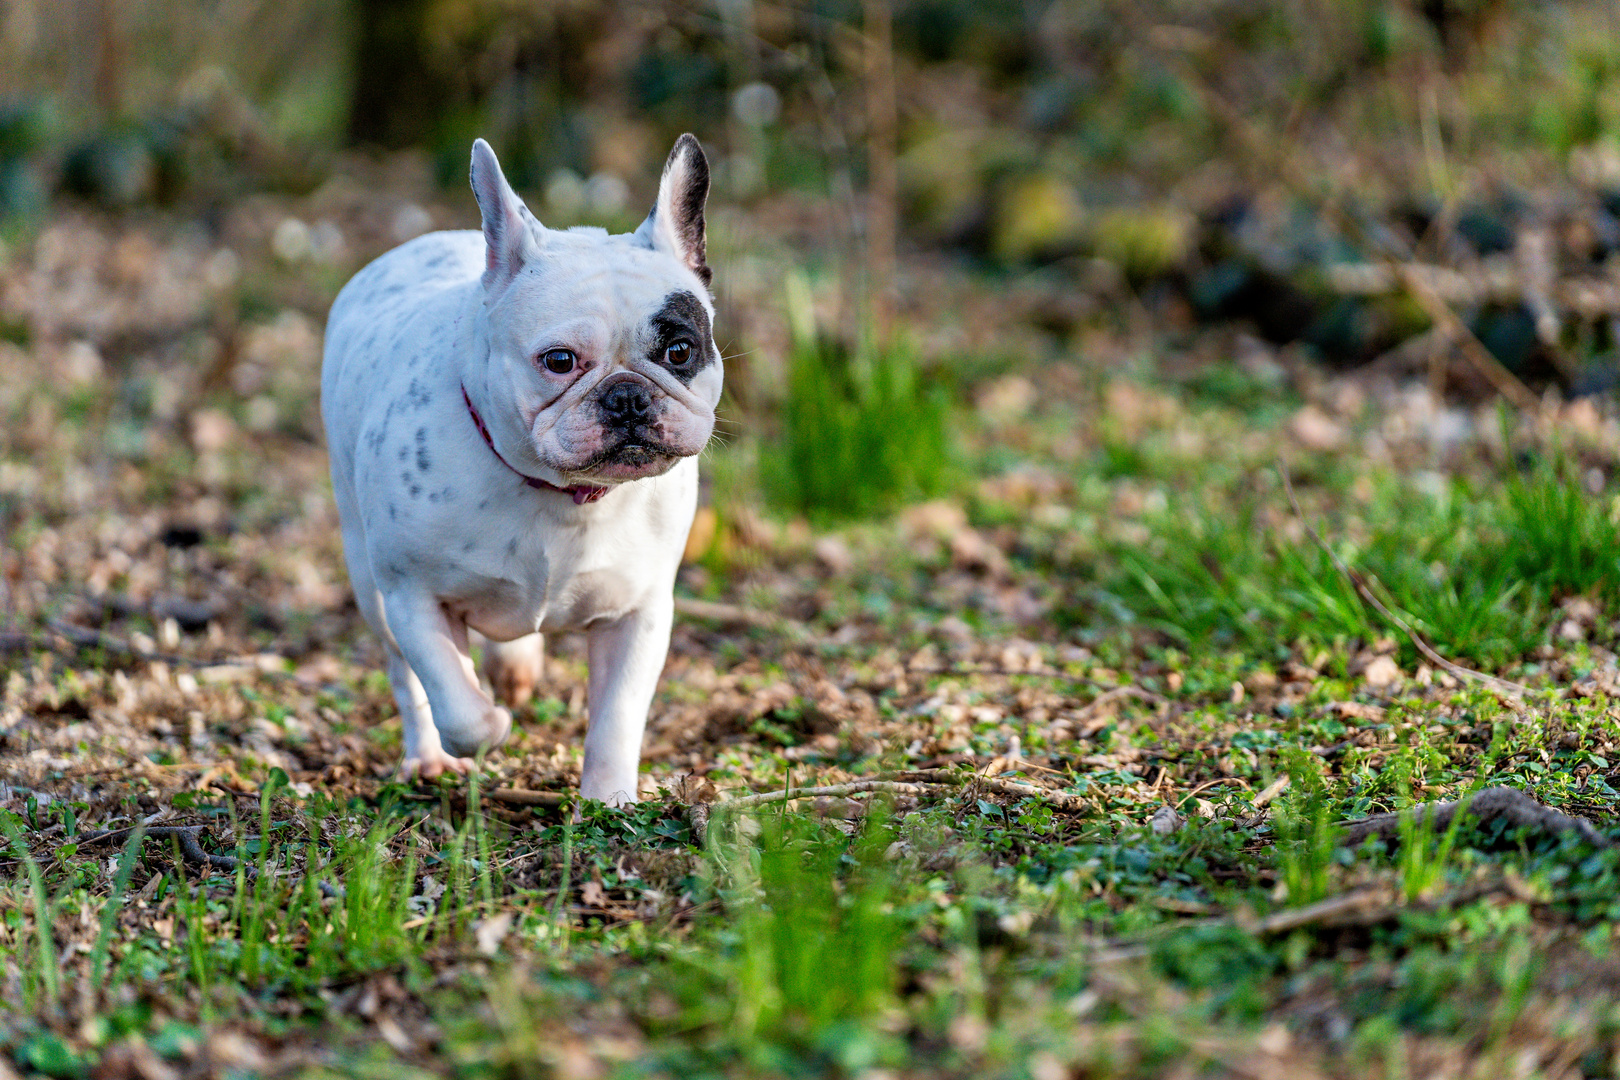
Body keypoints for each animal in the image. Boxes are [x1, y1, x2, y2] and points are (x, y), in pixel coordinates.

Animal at [319, 132, 719, 803]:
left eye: (680, 350)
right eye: (559, 361)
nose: (628, 397)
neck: (562, 496)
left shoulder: (638, 615)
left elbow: (617, 717)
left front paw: (608, 799)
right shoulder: (412, 598)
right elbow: (457, 705)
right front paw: (489, 724)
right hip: (367, 577)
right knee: (406, 678)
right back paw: (430, 756)